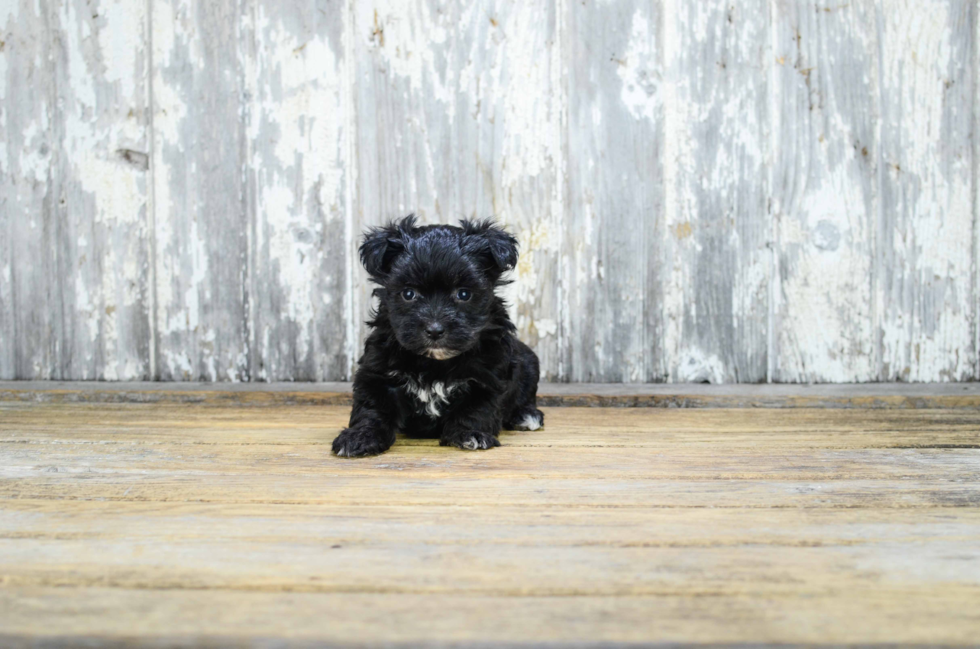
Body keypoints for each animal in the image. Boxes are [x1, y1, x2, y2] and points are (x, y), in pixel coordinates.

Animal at [334, 214, 540, 456]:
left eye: (464, 294)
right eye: (408, 294)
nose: (434, 329)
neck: (434, 362)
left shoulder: (488, 375)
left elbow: (477, 408)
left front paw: (470, 433)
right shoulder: (378, 371)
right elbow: (372, 407)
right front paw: (360, 436)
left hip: (529, 363)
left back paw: (526, 415)